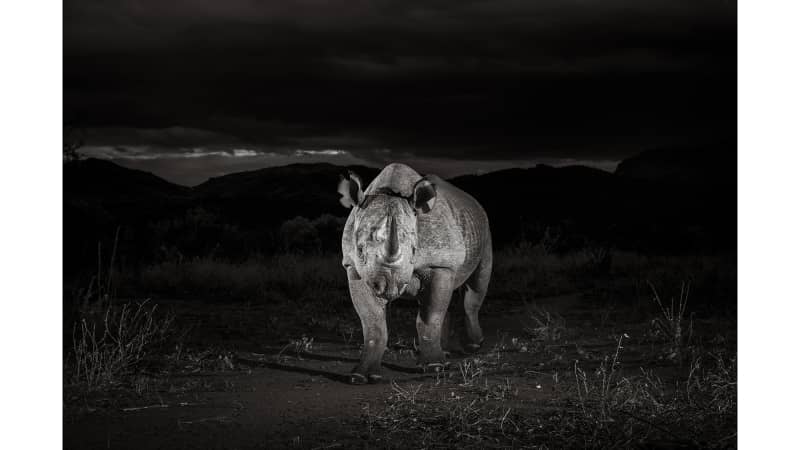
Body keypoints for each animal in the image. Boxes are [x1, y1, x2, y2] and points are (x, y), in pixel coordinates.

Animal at [340, 162, 494, 384]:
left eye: (414, 250)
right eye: (360, 250)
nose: (388, 286)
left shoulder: (440, 264)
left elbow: (430, 317)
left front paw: (434, 367)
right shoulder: (354, 269)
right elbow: (373, 323)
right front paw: (361, 376)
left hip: (484, 231)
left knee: (476, 286)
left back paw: (472, 346)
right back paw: (446, 352)